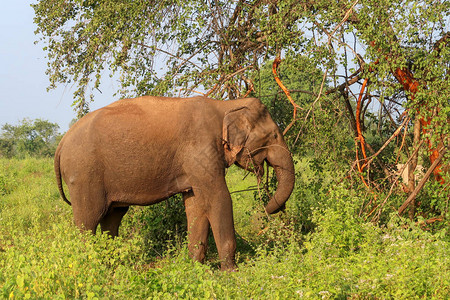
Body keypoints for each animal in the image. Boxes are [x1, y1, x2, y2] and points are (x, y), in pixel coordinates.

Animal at [54, 96, 296, 270]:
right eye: (274, 136)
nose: (265, 210)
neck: (226, 105)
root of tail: (61, 143)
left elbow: (196, 205)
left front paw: (194, 268)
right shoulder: (200, 150)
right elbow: (218, 198)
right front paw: (231, 273)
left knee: (112, 218)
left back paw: (112, 266)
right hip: (83, 175)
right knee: (88, 221)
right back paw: (90, 267)